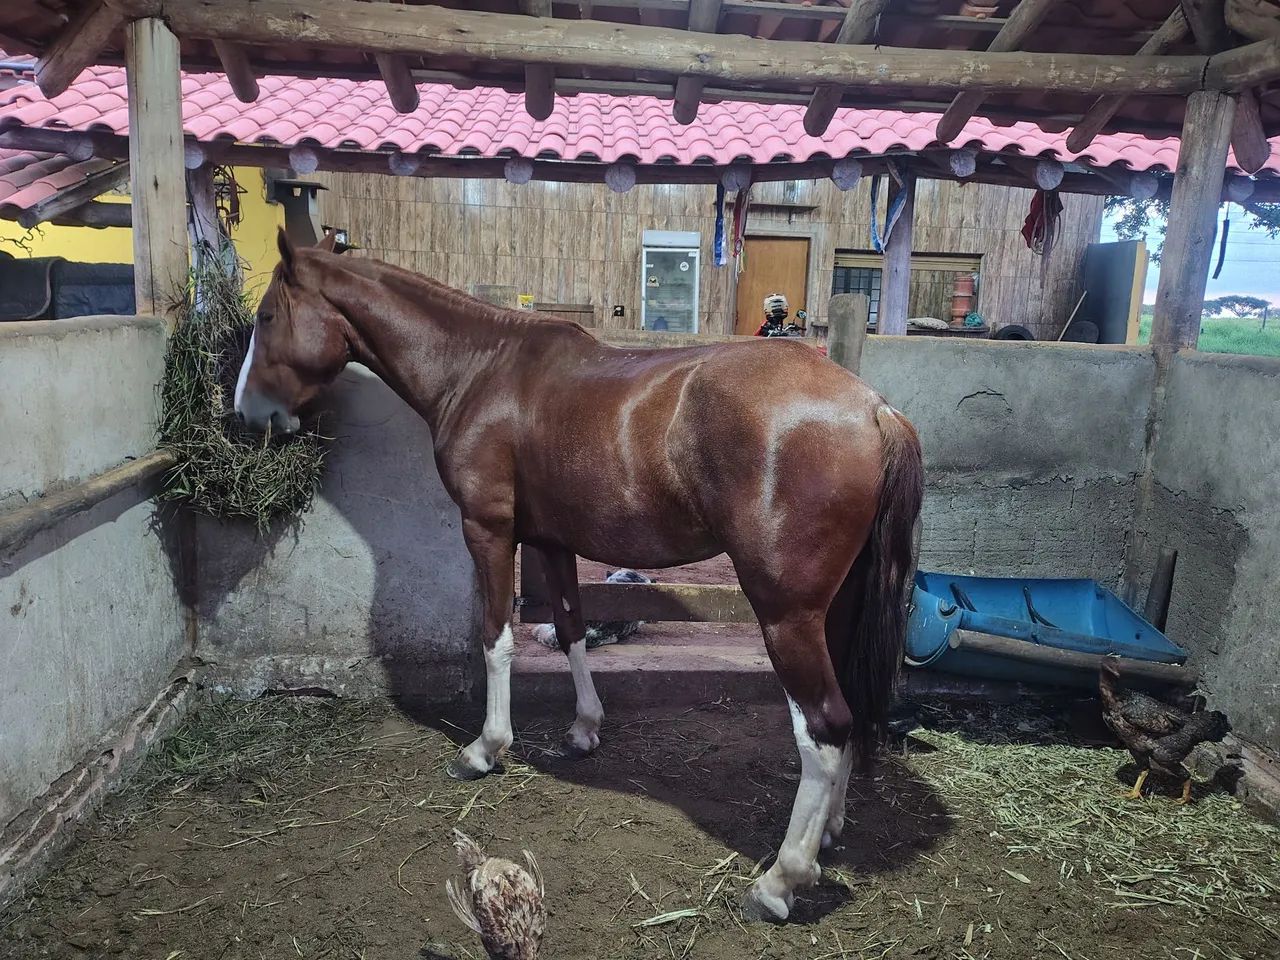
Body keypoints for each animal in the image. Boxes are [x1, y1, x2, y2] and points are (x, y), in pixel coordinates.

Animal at [236, 228, 924, 922]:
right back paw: (829, 831)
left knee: (824, 725)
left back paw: (781, 880)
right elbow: (568, 627)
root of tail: (875, 409)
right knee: (848, 710)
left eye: (265, 318)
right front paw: (585, 727)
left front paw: (486, 748)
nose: (246, 414)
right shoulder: (552, 542)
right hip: (834, 609)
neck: (480, 370)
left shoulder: (489, 532)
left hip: (784, 614)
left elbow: (495, 636)